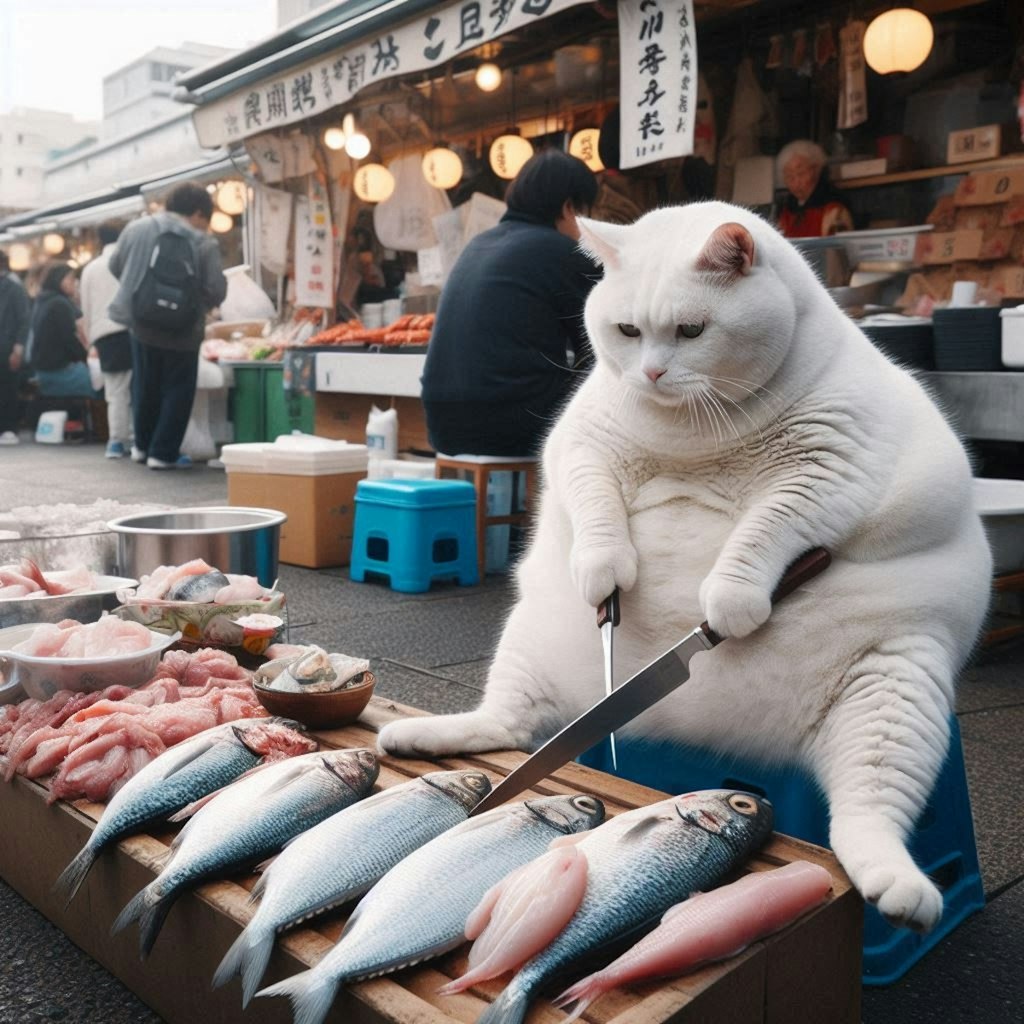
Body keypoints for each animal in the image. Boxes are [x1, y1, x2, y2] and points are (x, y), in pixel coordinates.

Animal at [378, 201, 991, 937]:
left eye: (691, 331)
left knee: (867, 815)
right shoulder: (582, 445)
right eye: (627, 331)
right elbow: (598, 515)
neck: (696, 436)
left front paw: (731, 601)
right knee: (507, 726)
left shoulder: (828, 467)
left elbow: (766, 528)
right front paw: (606, 575)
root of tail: (700, 725)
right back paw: (420, 734)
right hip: (530, 638)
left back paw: (900, 888)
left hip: (897, 686)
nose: (651, 374)